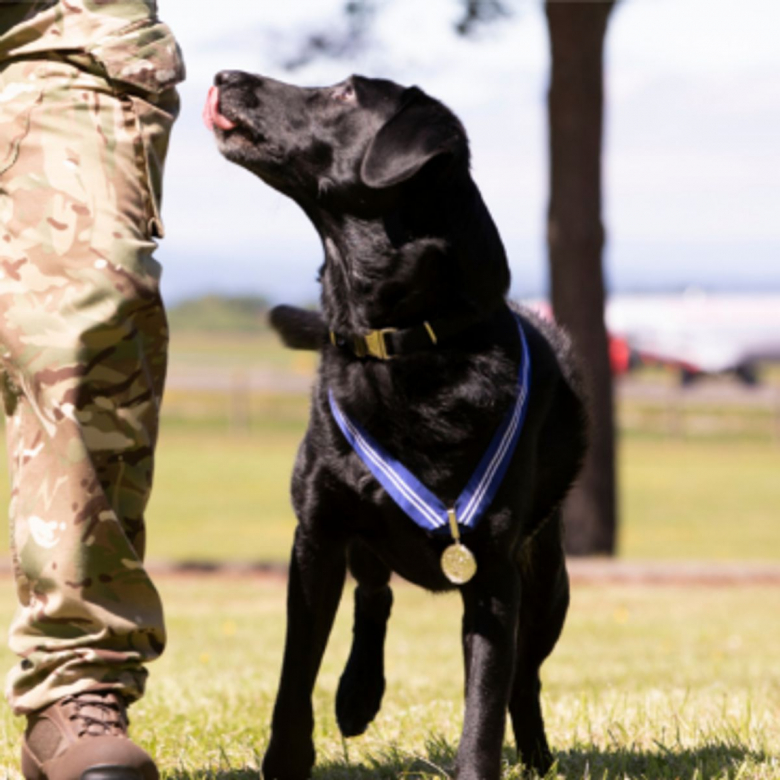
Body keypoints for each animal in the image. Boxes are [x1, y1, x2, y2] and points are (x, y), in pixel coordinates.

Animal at [207, 71, 584, 780]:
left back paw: (538, 754)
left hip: (547, 582)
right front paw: (290, 756)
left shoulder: (493, 574)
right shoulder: (318, 535)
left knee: (525, 676)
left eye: (344, 94)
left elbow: (484, 706)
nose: (224, 76)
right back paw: (357, 695)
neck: (393, 343)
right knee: (374, 592)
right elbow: (295, 674)